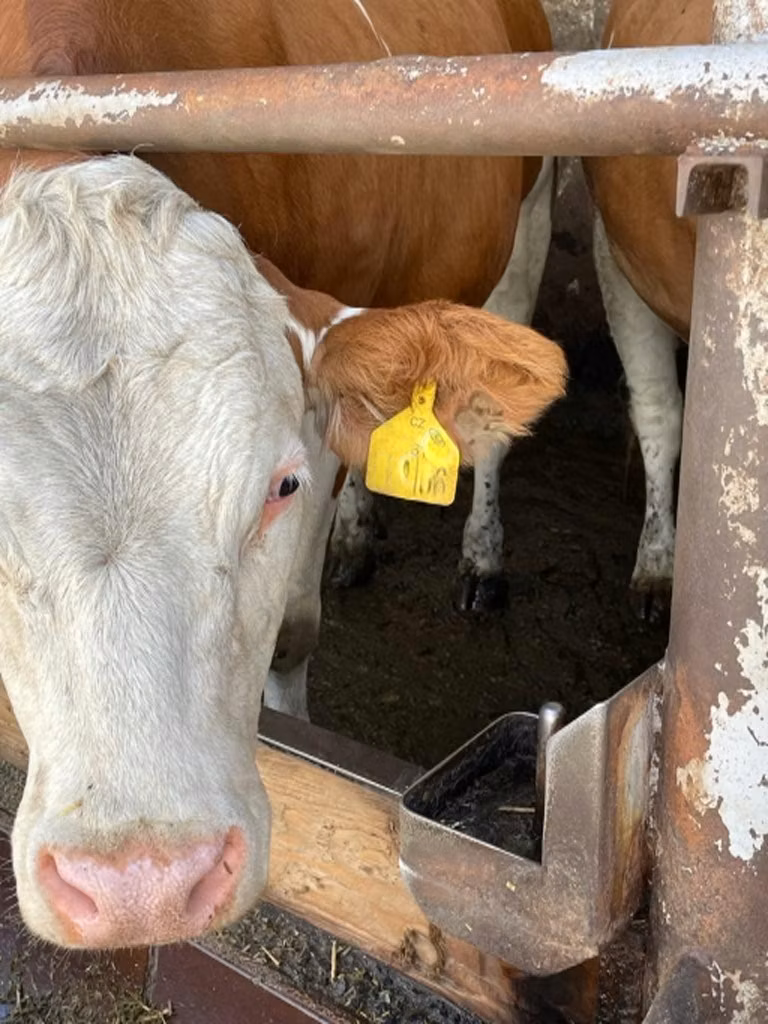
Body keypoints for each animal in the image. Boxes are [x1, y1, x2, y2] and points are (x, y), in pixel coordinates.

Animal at [0, 0, 566, 948]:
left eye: (281, 487)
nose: (142, 885)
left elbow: (297, 630)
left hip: (527, 229)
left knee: (486, 441)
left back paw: (481, 558)